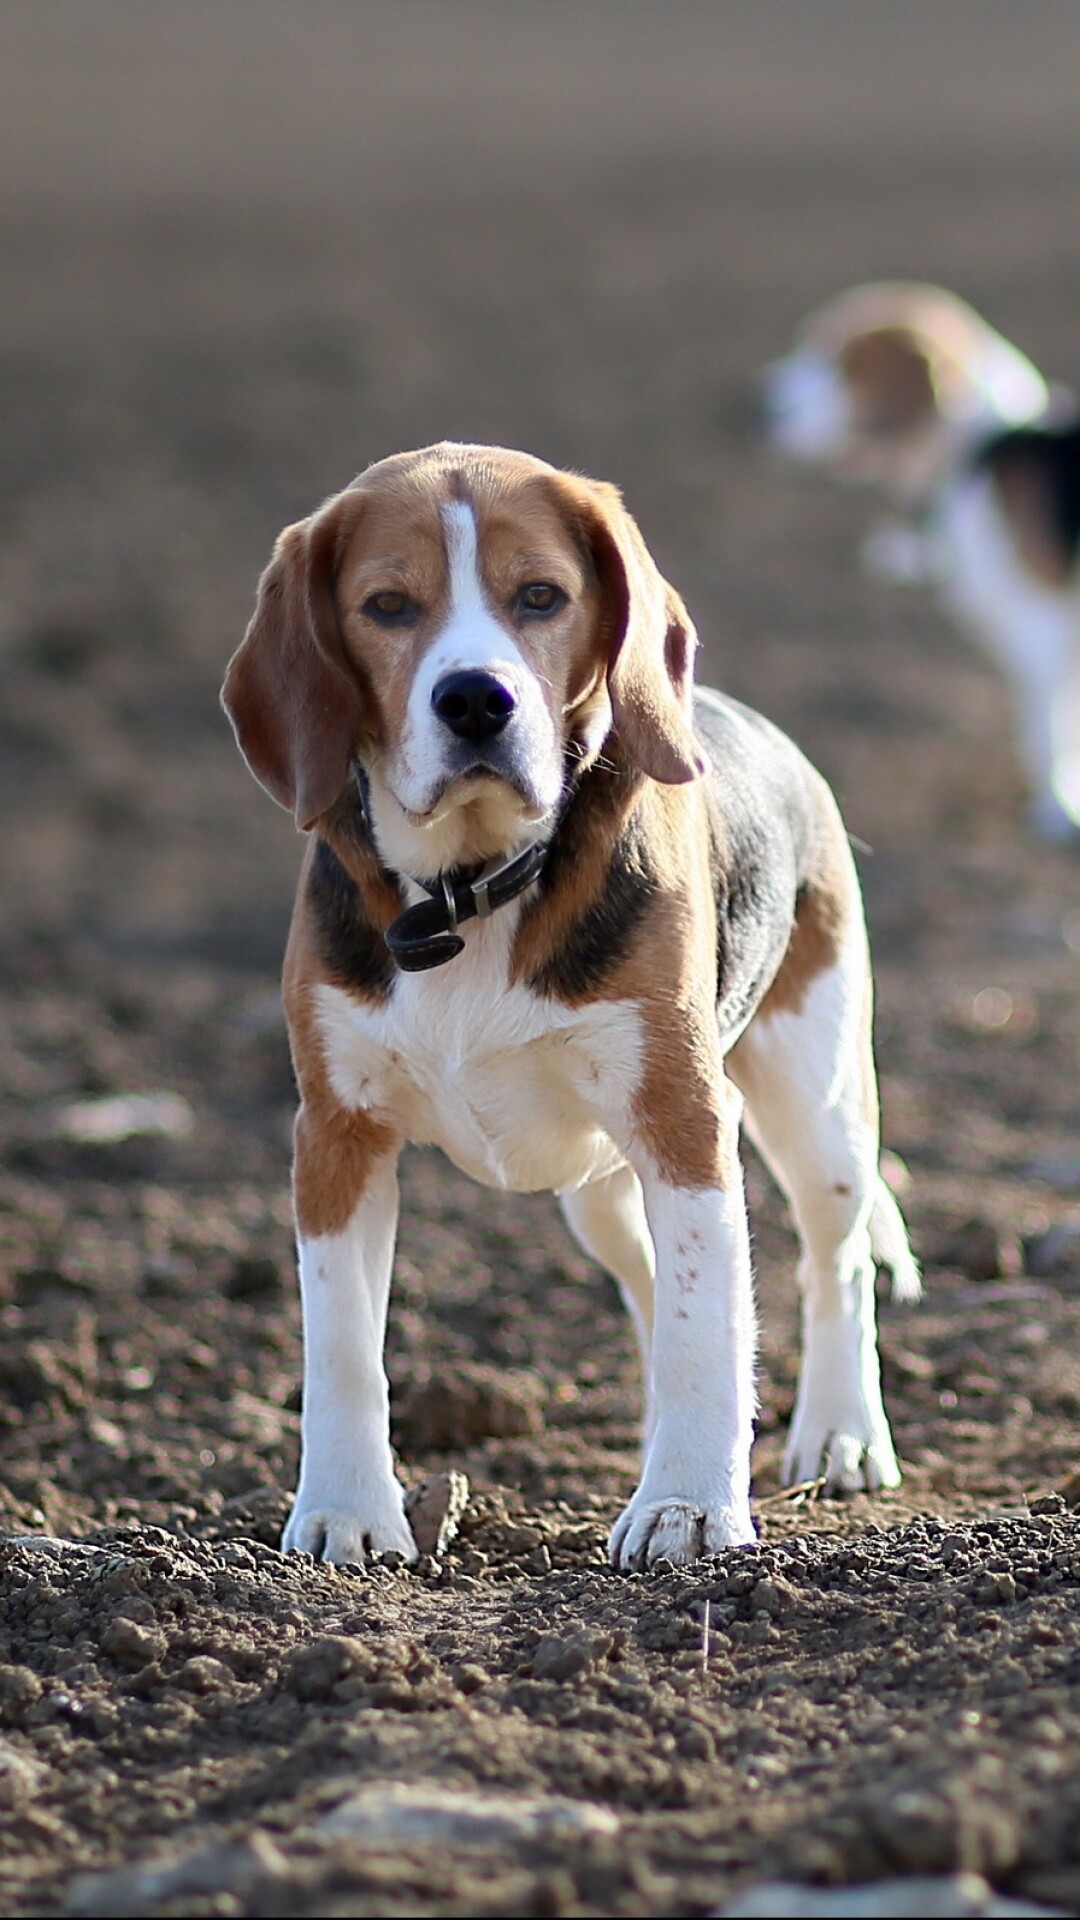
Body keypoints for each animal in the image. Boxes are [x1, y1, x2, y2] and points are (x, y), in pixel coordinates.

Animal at [222, 441, 910, 1566]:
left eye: (540, 595)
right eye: (387, 605)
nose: (475, 700)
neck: (470, 887)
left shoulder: (684, 1119)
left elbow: (705, 1331)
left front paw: (689, 1509)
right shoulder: (335, 1133)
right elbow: (342, 1348)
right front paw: (347, 1515)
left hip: (819, 1108)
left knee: (832, 1263)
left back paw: (841, 1436)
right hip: (600, 1192)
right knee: (654, 1285)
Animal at [757, 280, 1076, 840]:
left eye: (844, 363)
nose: (760, 409)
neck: (974, 453)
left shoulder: (1045, 631)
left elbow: (1047, 731)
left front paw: (1055, 809)